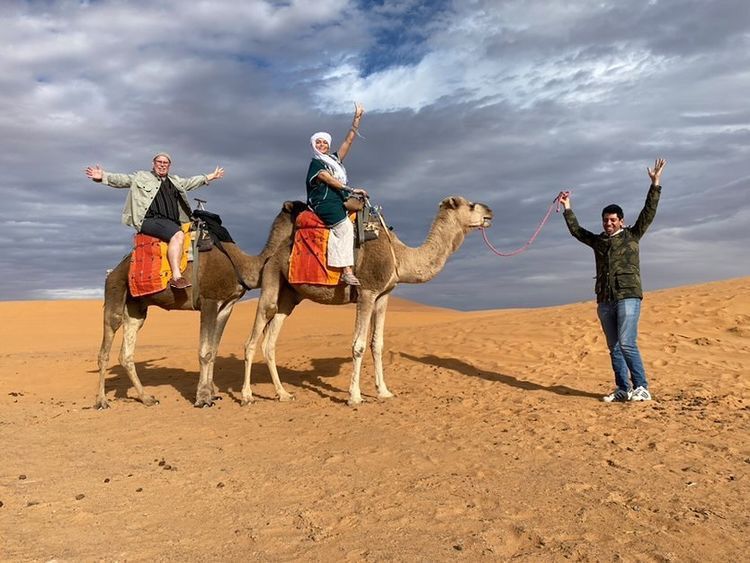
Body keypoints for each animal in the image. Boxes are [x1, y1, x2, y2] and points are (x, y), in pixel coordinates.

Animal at [97, 202, 306, 410]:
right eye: (304, 210)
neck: (241, 264)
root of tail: (113, 271)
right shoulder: (209, 300)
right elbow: (205, 352)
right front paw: (203, 398)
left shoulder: (227, 305)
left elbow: (213, 351)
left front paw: (212, 393)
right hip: (115, 292)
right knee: (106, 346)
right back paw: (101, 401)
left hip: (136, 308)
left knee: (126, 352)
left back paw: (147, 398)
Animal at [241, 196, 496, 408]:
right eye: (471, 205)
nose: (490, 211)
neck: (399, 256)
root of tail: (273, 255)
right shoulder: (367, 291)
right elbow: (359, 345)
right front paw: (354, 397)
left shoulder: (383, 295)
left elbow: (377, 344)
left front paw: (384, 392)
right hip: (272, 282)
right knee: (253, 339)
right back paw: (247, 396)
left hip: (290, 296)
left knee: (270, 341)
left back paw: (283, 394)